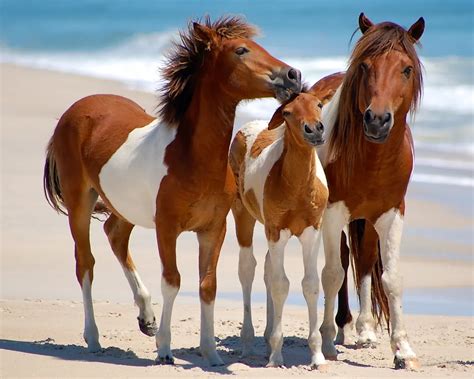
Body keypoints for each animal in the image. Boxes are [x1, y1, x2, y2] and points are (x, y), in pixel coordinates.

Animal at [41, 16, 300, 366]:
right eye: (241, 50)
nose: (293, 75)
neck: (191, 157)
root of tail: (73, 111)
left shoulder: (213, 230)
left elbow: (208, 285)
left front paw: (211, 353)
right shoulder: (167, 229)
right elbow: (173, 281)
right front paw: (164, 349)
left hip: (123, 208)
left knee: (114, 235)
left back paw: (146, 318)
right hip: (80, 203)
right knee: (86, 264)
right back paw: (94, 339)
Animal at [228, 90, 332, 370]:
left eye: (319, 104)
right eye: (287, 112)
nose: (314, 130)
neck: (298, 186)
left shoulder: (312, 232)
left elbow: (310, 284)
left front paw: (317, 357)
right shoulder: (277, 232)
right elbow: (280, 285)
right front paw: (276, 355)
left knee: (266, 268)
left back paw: (265, 340)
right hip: (243, 215)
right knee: (247, 268)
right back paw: (248, 344)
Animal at [314, 13, 426, 370]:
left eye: (406, 69)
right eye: (365, 66)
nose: (376, 120)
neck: (372, 160)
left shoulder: (391, 214)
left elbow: (391, 278)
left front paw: (403, 350)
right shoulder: (333, 212)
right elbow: (332, 273)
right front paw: (326, 340)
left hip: (366, 220)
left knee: (362, 260)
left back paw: (364, 330)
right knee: (341, 260)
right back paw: (339, 327)